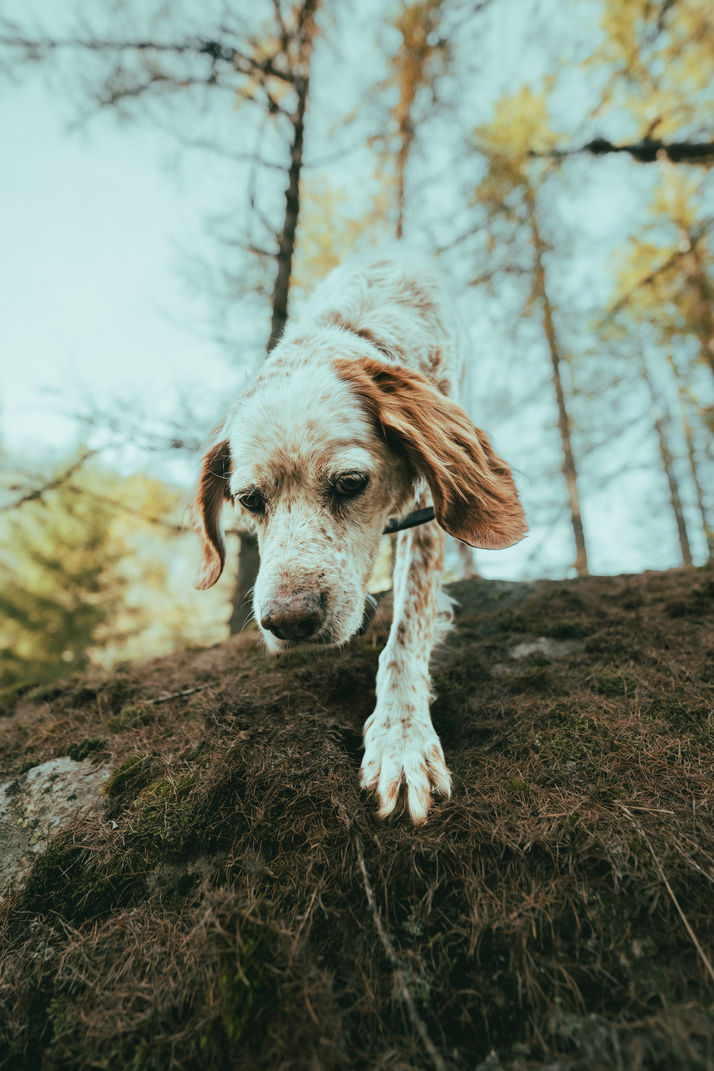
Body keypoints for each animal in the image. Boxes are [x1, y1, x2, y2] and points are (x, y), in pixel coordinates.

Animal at [193, 251, 527, 823]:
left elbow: (408, 628)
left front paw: (401, 737)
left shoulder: (428, 503)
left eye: (351, 483)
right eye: (249, 500)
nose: (287, 623)